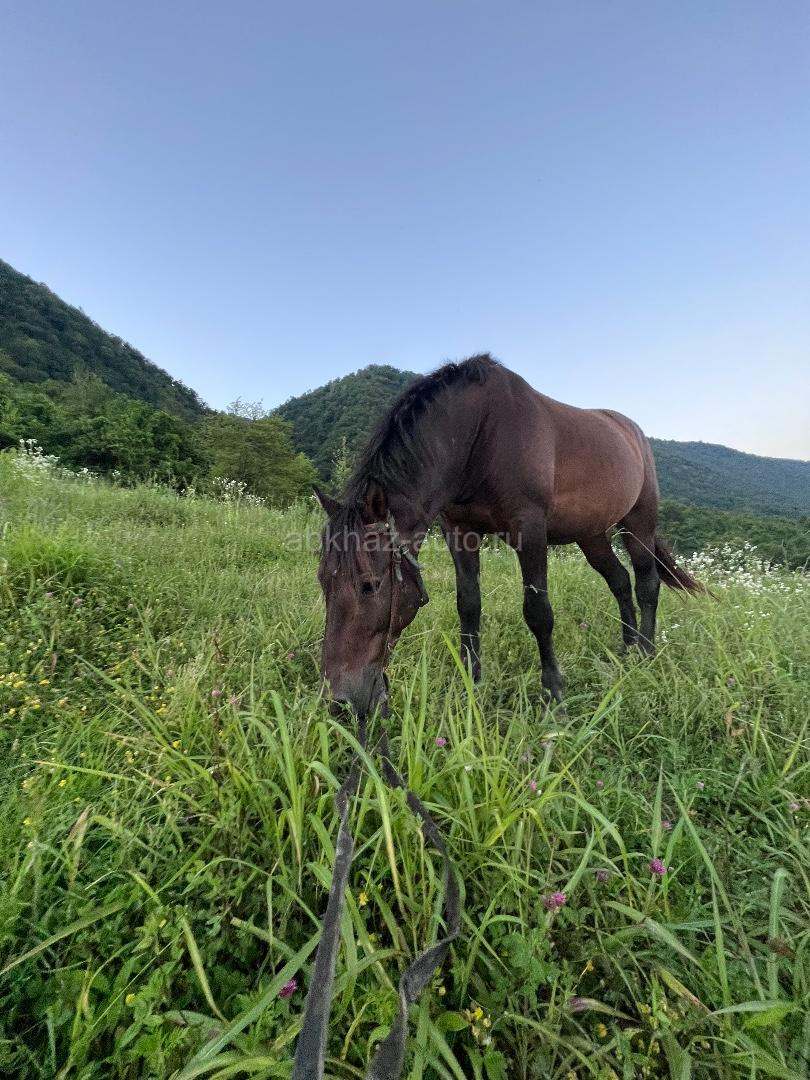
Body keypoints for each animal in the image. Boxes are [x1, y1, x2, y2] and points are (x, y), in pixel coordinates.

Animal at [315, 353, 702, 714]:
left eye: (370, 585)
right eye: (322, 581)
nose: (341, 701)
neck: (480, 435)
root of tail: (632, 432)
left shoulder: (529, 530)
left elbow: (538, 612)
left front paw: (553, 696)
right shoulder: (460, 531)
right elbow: (468, 606)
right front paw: (470, 684)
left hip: (638, 523)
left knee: (646, 582)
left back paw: (646, 654)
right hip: (591, 535)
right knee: (620, 581)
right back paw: (626, 648)